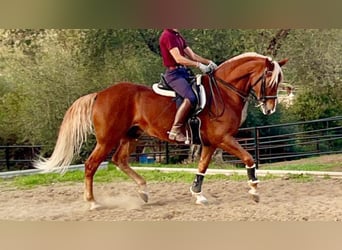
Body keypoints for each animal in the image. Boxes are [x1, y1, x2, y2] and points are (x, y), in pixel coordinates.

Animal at [34, 52, 288, 209]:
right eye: (270, 80)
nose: (270, 108)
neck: (224, 92)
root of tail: (100, 94)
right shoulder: (223, 138)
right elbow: (248, 158)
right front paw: (254, 191)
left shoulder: (210, 142)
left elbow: (202, 167)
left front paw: (198, 194)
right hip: (108, 139)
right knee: (91, 165)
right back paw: (93, 202)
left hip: (131, 135)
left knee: (119, 160)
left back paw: (143, 190)